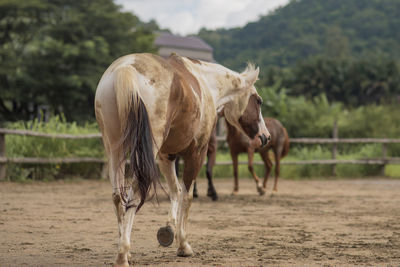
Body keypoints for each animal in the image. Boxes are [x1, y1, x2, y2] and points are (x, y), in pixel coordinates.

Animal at [94, 52, 268, 267]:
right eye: (258, 101)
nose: (265, 136)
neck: (205, 83)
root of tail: (126, 68)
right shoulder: (196, 153)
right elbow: (187, 195)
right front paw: (183, 245)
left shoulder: (166, 157)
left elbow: (175, 191)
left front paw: (169, 229)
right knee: (134, 194)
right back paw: (122, 254)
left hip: (114, 148)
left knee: (119, 197)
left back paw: (125, 251)